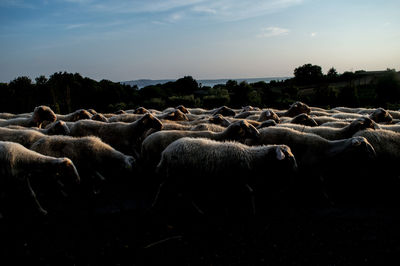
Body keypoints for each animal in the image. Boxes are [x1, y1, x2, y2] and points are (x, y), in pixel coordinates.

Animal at [153, 137, 296, 216]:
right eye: (288, 156)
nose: (296, 168)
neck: (251, 158)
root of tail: (165, 152)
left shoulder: (233, 180)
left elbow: (240, 194)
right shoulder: (237, 178)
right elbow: (249, 192)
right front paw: (252, 211)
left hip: (179, 175)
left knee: (178, 191)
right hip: (177, 174)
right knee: (170, 189)